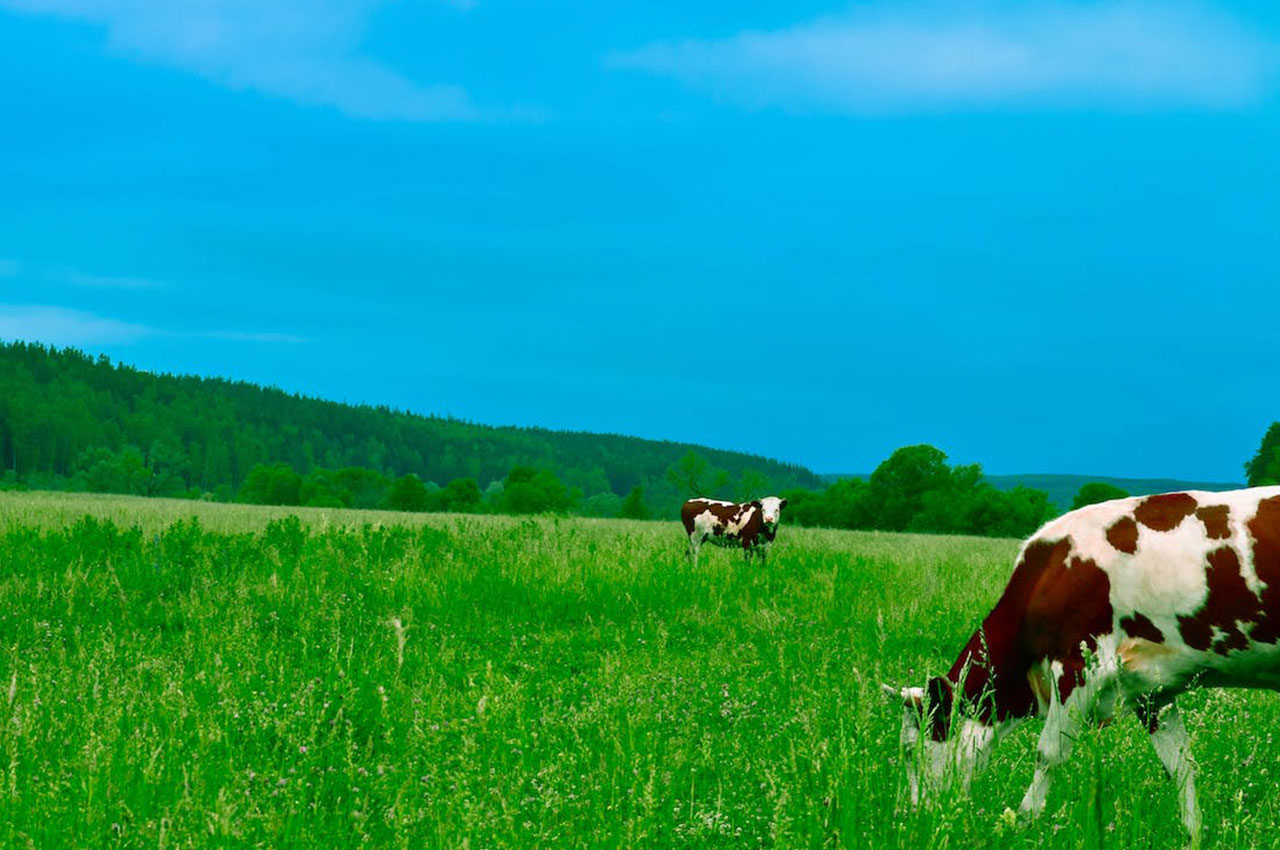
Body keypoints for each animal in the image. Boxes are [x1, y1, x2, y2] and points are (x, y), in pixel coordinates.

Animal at [885, 483, 1280, 844]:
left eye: (911, 749)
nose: (911, 817)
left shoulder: (1078, 666)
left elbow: (1048, 754)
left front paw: (1023, 825)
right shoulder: (1152, 690)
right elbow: (1179, 764)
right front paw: (1193, 834)